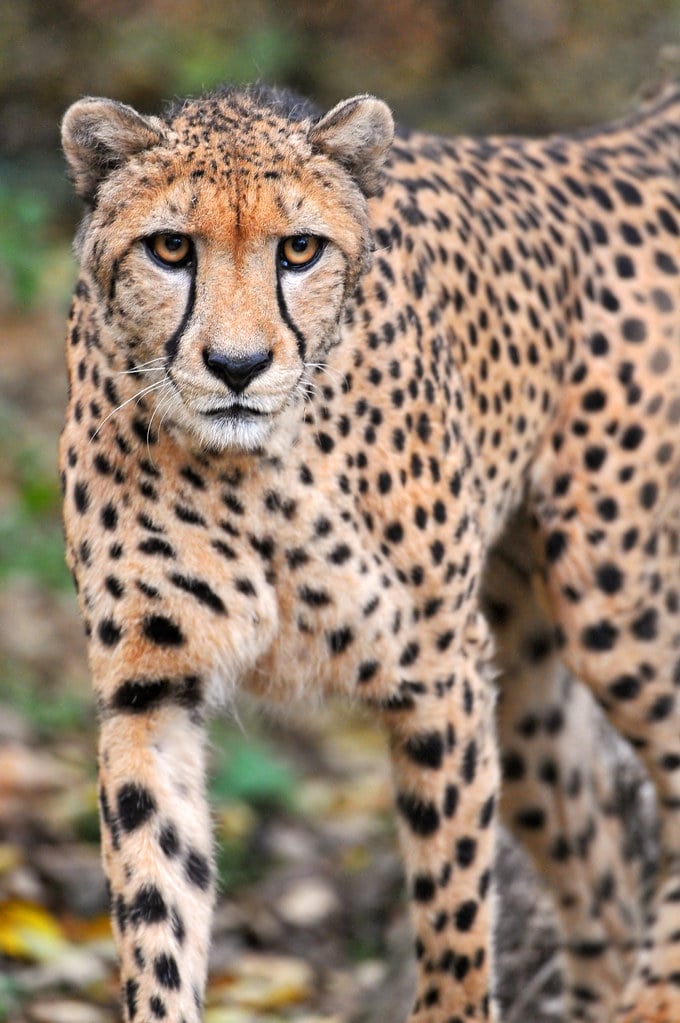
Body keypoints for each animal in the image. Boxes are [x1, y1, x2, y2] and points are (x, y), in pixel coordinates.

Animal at [59, 78, 679, 1023]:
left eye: (299, 249)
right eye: (170, 248)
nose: (236, 365)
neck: (247, 465)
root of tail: (617, 136)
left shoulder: (439, 673)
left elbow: (455, 911)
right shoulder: (147, 692)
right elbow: (155, 904)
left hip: (613, 607)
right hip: (526, 685)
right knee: (598, 865)